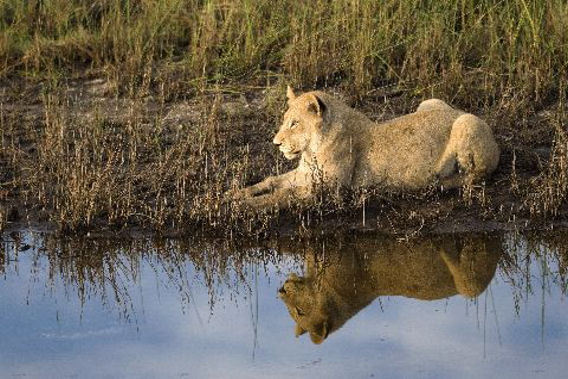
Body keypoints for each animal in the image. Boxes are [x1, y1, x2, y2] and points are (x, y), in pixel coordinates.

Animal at [229, 87, 500, 208]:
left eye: (294, 123)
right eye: (285, 120)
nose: (276, 143)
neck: (311, 149)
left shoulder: (327, 190)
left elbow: (281, 196)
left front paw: (244, 206)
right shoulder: (305, 174)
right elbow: (271, 181)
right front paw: (235, 194)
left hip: (467, 123)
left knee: (476, 175)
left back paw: (439, 182)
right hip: (429, 101)